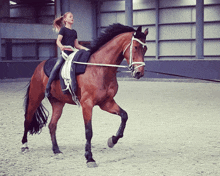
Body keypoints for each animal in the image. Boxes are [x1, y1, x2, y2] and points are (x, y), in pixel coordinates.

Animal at [21, 23, 148, 168]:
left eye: (145, 49)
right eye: (136, 47)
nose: (139, 73)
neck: (99, 68)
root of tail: (39, 66)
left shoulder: (106, 102)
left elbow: (124, 115)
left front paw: (112, 140)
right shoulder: (87, 104)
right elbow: (89, 131)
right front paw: (89, 158)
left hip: (58, 103)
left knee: (52, 125)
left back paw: (56, 150)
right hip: (35, 98)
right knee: (27, 119)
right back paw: (24, 146)